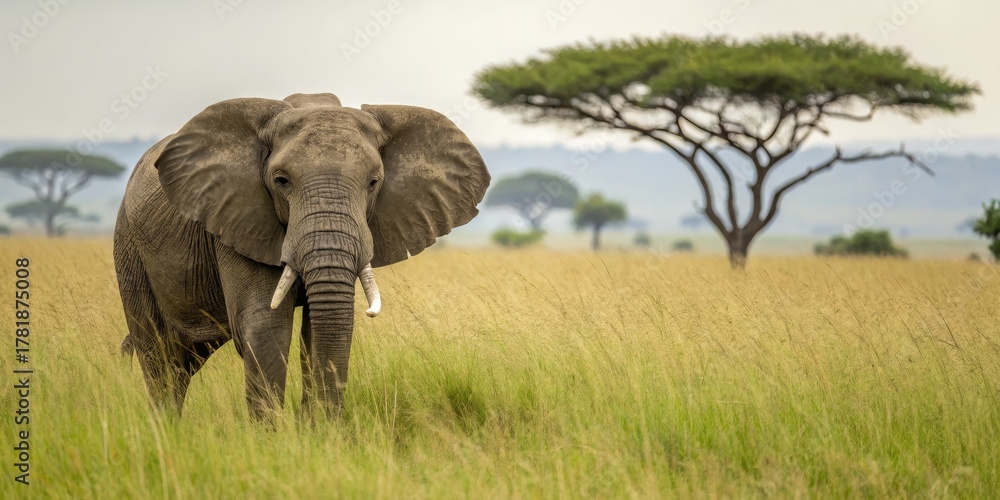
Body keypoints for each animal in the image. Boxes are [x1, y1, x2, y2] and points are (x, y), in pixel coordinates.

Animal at [114, 92, 490, 419]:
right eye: (281, 181)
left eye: (373, 182)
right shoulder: (238, 219)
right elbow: (265, 328)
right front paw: (271, 441)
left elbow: (319, 330)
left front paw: (319, 435)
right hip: (129, 245)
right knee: (158, 354)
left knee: (181, 362)